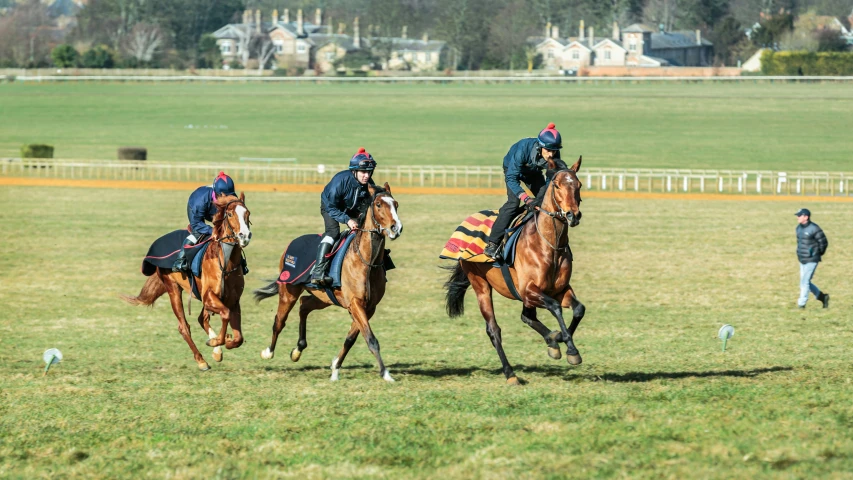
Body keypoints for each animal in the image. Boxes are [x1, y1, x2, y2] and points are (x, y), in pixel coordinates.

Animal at [122, 192, 253, 372]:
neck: (226, 262)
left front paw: (224, 342)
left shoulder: (232, 300)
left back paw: (216, 350)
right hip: (173, 289)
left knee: (201, 319)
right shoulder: (209, 296)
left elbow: (238, 337)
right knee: (184, 327)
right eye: (230, 214)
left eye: (247, 213)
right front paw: (217, 341)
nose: (244, 236)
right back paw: (202, 360)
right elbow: (225, 314)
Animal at [253, 184, 402, 382]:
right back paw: (268, 352)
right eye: (378, 204)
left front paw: (335, 368)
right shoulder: (356, 304)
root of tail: (290, 245)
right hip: (288, 291)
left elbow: (351, 339)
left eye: (396, 204)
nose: (396, 228)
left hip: (323, 297)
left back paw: (298, 350)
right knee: (279, 321)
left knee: (304, 305)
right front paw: (385, 373)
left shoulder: (368, 307)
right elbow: (371, 339)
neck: (366, 261)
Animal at [440, 159, 584, 384]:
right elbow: (555, 307)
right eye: (557, 185)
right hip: (480, 284)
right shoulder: (528, 290)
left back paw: (551, 341)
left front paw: (561, 341)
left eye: (579, 185)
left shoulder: (559, 289)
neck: (549, 245)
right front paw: (569, 347)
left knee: (527, 316)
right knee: (494, 329)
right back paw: (511, 374)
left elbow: (578, 309)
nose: (573, 215)